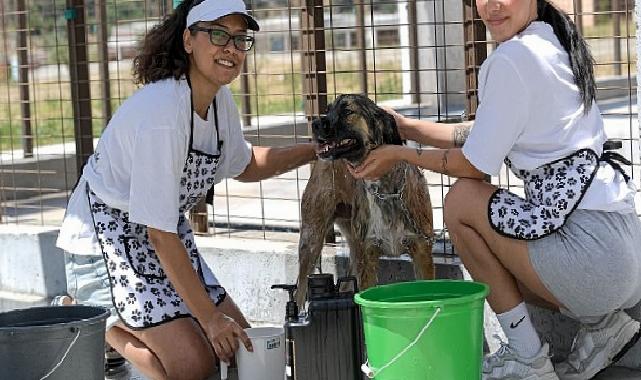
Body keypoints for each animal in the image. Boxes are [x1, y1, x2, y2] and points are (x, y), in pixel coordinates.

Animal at [298, 95, 432, 306]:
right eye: (328, 110)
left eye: (347, 111)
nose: (315, 124)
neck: (385, 189)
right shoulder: (367, 258)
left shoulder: (422, 251)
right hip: (311, 242)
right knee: (299, 291)